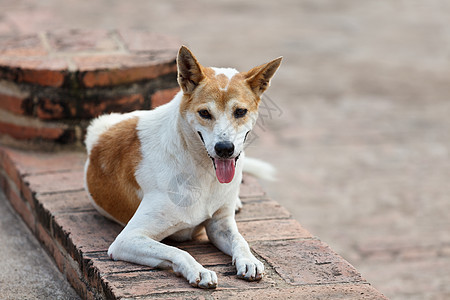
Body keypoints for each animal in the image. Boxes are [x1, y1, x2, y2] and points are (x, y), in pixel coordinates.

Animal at [83, 47, 282, 288]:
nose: (225, 148)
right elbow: (177, 251)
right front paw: (198, 271)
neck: (203, 171)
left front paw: (249, 260)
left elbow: (240, 240)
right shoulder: (127, 239)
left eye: (240, 112)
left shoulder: (219, 225)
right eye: (204, 113)